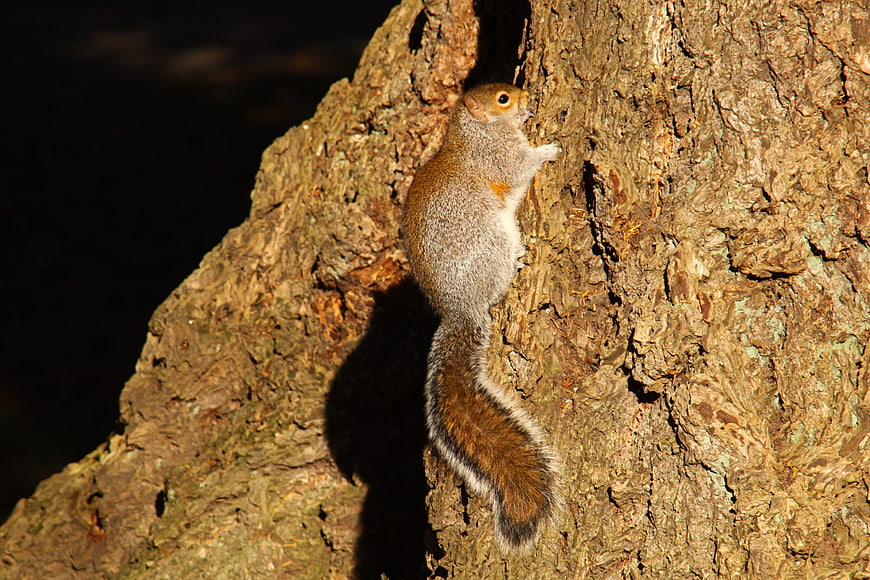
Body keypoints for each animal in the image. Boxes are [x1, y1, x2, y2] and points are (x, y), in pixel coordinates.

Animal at [402, 83, 561, 553]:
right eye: (503, 99)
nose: (526, 98)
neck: (472, 132)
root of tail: (460, 309)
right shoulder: (499, 157)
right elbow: (521, 164)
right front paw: (548, 148)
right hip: (491, 241)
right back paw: (518, 261)